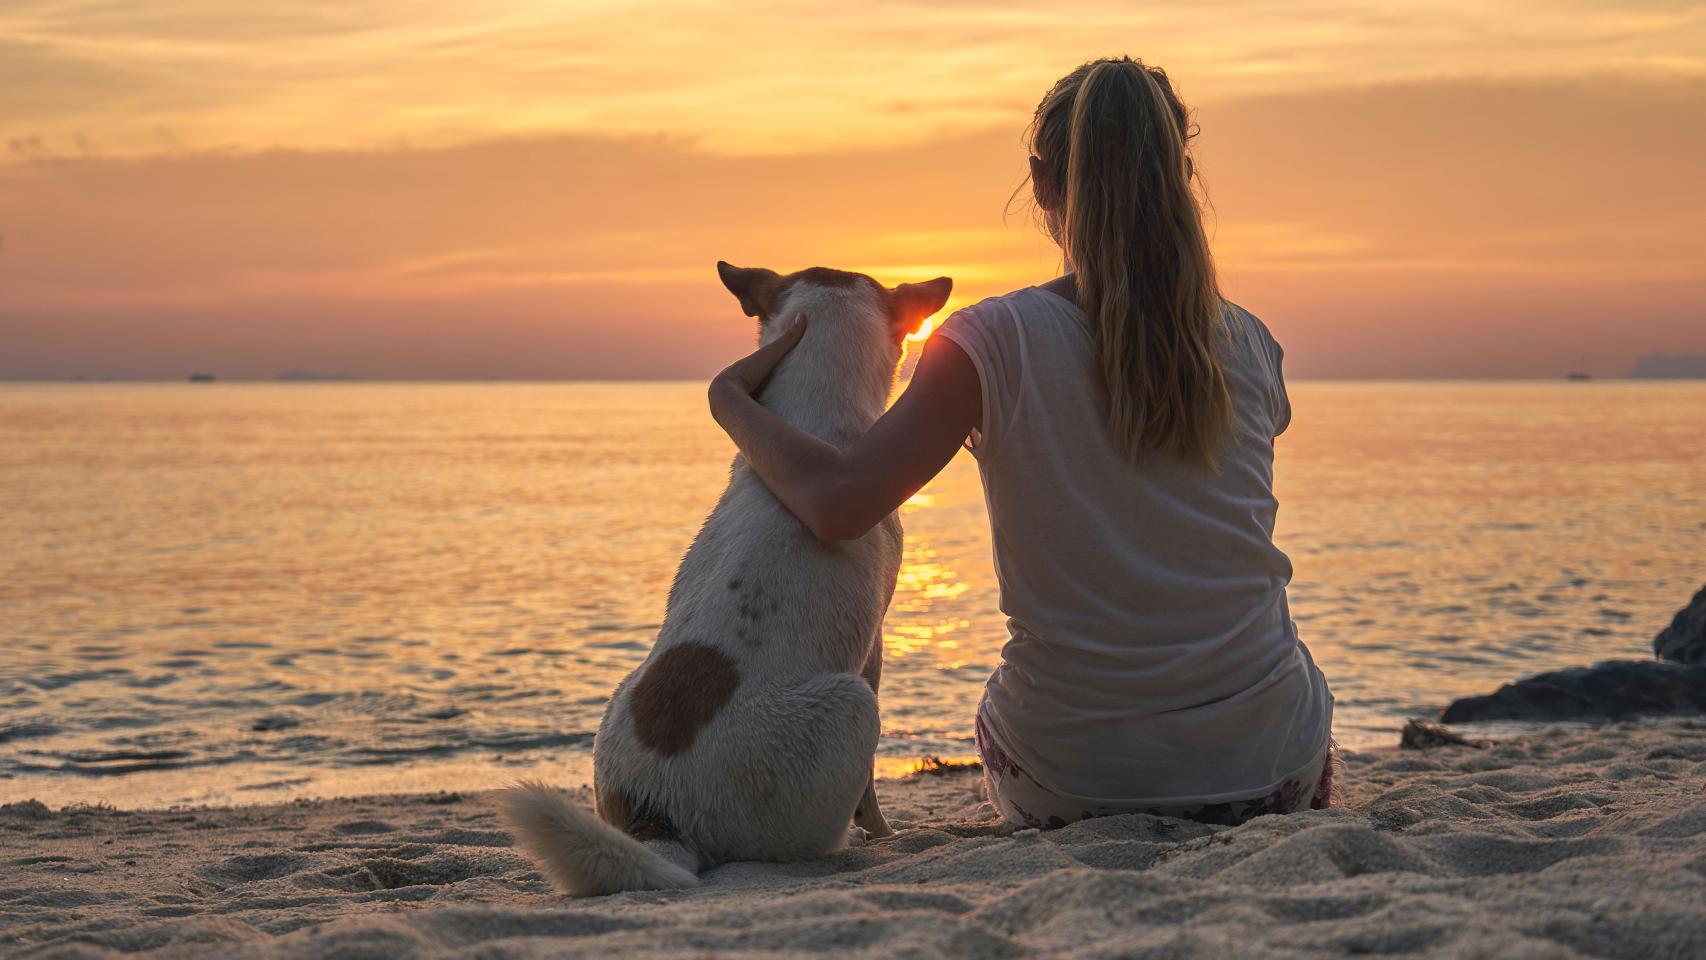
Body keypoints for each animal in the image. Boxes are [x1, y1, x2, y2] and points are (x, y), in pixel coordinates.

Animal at [494, 260, 955, 893]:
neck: (812, 423)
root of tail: (659, 815)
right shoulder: (875, 646)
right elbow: (870, 788)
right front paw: (883, 831)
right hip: (852, 703)